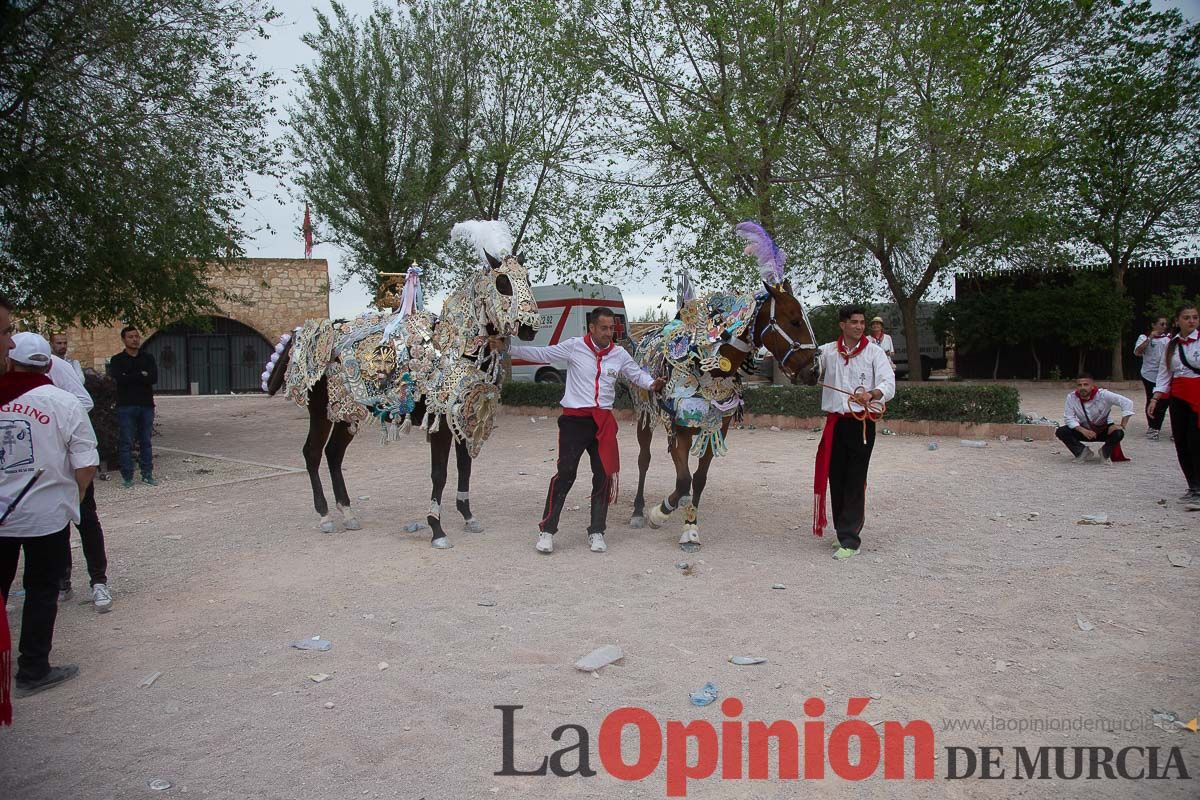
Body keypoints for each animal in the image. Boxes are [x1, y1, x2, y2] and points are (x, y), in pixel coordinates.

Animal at [268, 221, 544, 554]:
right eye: (503, 283)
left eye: (528, 278)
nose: (530, 327)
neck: (454, 347)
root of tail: (308, 334)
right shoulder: (440, 423)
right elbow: (440, 473)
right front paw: (436, 528)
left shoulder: (466, 416)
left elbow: (465, 467)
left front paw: (468, 516)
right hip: (321, 412)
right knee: (312, 452)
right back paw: (324, 516)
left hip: (347, 413)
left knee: (333, 453)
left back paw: (348, 513)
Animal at [619, 221, 825, 554]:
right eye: (794, 320)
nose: (814, 370)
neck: (707, 369)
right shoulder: (678, 429)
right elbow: (681, 480)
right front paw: (659, 513)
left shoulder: (716, 427)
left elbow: (697, 479)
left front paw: (690, 527)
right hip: (646, 416)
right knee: (644, 460)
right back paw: (638, 510)